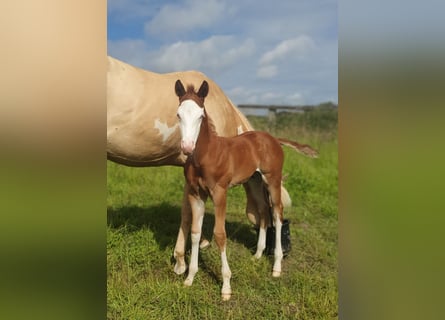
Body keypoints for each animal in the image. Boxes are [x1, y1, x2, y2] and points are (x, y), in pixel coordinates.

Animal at [173, 80, 316, 300]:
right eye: (179, 114)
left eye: (200, 116)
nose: (187, 147)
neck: (205, 156)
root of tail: (273, 139)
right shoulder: (196, 194)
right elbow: (195, 233)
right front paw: (189, 278)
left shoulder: (219, 192)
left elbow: (220, 234)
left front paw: (226, 286)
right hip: (255, 181)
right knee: (264, 211)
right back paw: (257, 254)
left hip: (272, 179)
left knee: (277, 214)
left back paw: (276, 266)